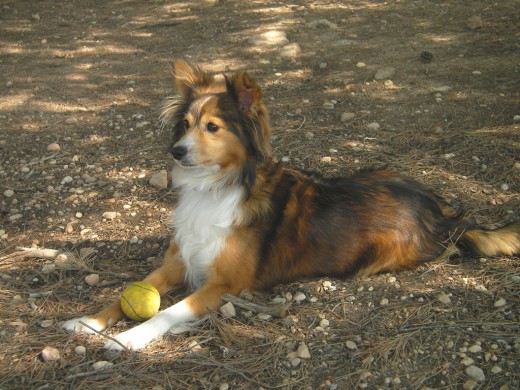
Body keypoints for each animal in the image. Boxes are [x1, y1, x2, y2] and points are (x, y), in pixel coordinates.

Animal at [62, 60, 520, 350]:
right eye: (186, 125)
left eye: (213, 127)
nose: (176, 152)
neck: (218, 186)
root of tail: (440, 213)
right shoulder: (179, 260)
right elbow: (127, 292)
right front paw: (88, 321)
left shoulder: (224, 285)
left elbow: (168, 312)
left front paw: (127, 338)